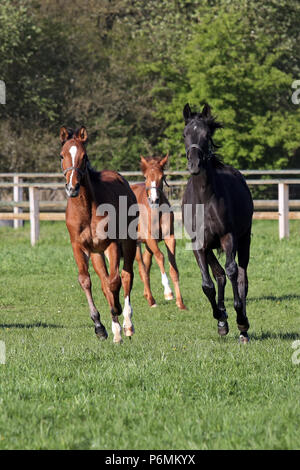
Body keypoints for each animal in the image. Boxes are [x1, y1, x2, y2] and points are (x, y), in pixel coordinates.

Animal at [59, 126, 138, 344]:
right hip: (96, 252)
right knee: (104, 282)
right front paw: (99, 327)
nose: (72, 187)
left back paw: (127, 324)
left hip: (128, 242)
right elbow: (86, 281)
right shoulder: (79, 246)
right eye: (62, 155)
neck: (86, 209)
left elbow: (115, 281)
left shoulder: (111, 243)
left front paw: (117, 310)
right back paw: (116, 331)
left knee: (126, 276)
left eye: (84, 156)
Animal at [131, 156, 185, 310]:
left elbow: (174, 268)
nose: (154, 199)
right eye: (145, 177)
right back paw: (151, 299)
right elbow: (160, 257)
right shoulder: (150, 239)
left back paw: (147, 295)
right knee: (142, 268)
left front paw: (180, 302)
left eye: (162, 177)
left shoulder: (169, 237)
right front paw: (168, 292)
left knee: (146, 264)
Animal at [182, 103, 254, 342]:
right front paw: (221, 318)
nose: (194, 164)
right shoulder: (199, 244)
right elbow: (208, 284)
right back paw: (223, 319)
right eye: (185, 134)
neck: (205, 199)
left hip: (244, 239)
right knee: (219, 275)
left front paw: (240, 319)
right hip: (211, 248)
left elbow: (233, 272)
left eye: (206, 134)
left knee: (241, 276)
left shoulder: (228, 237)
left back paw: (243, 327)